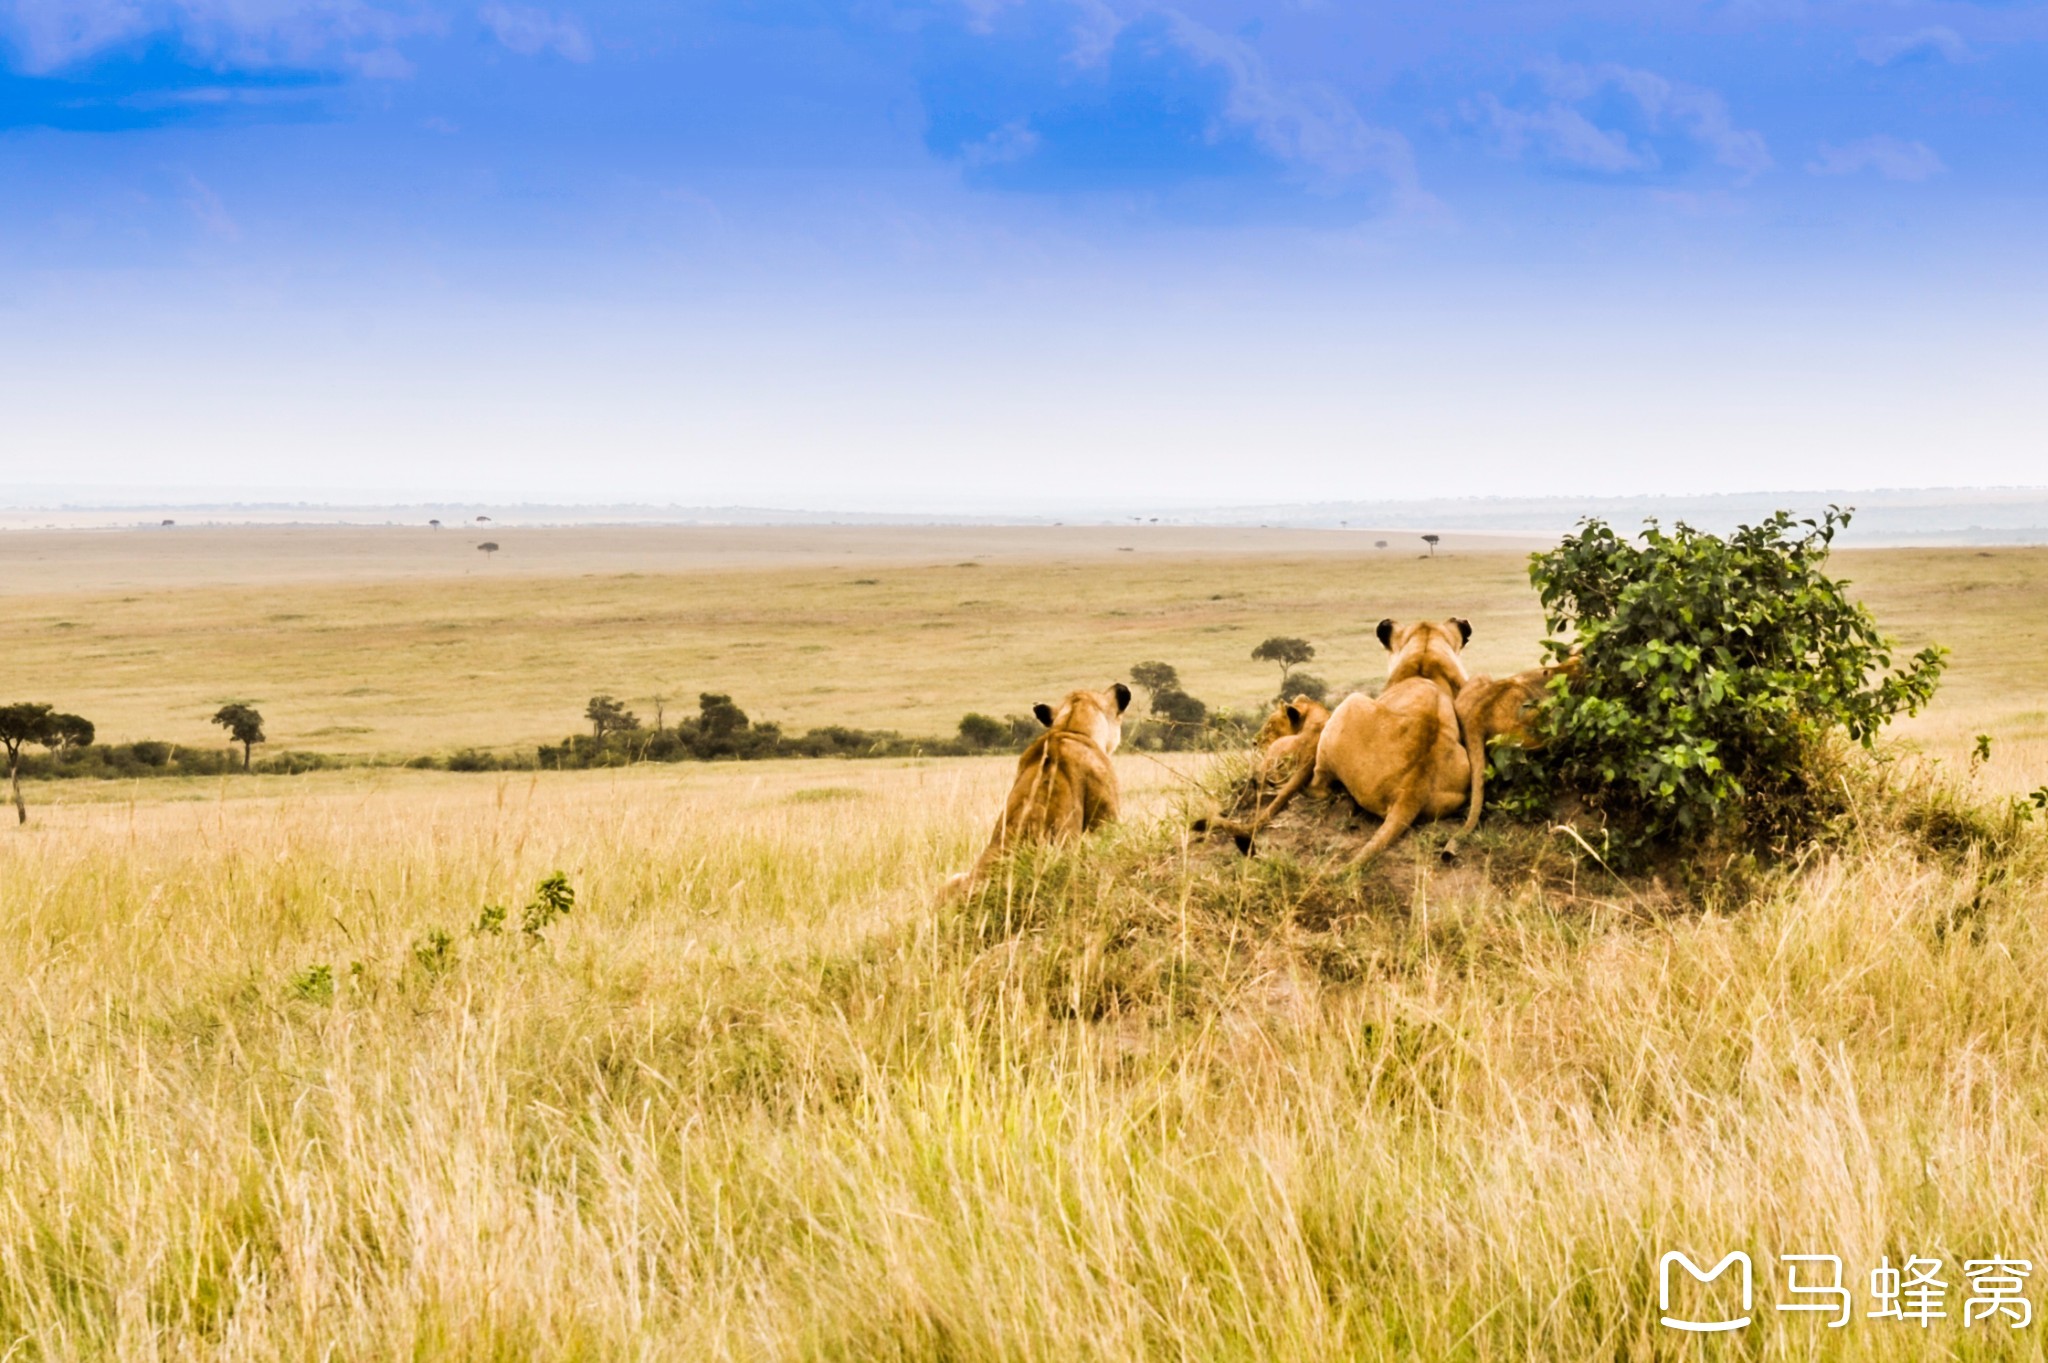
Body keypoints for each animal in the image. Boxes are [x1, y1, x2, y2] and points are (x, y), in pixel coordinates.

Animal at [1196, 618, 1474, 863]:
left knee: (1318, 786)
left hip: (1349, 703)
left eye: (1270, 726)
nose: (1255, 742)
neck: (1426, 658)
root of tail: (1412, 788)